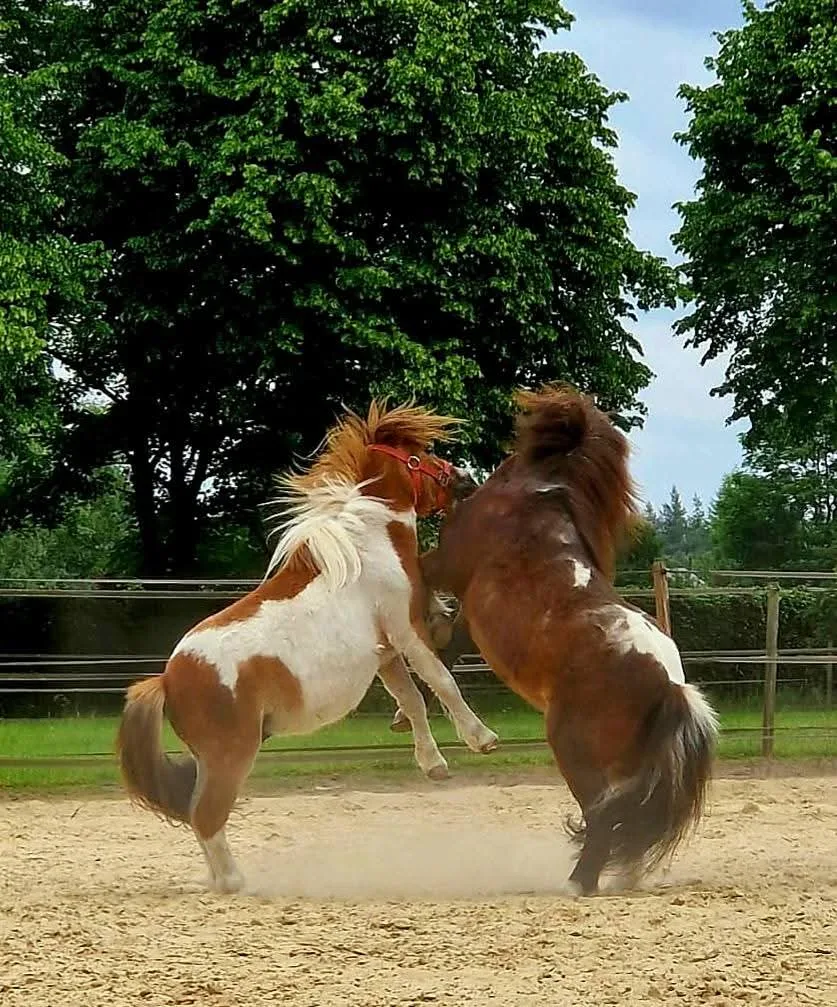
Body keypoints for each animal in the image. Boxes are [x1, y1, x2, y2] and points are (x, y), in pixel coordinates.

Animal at [116, 400, 499, 893]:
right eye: (423, 454)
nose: (465, 480)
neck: (368, 545)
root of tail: (166, 679)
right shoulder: (405, 630)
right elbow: (442, 682)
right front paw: (481, 738)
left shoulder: (385, 653)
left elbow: (412, 700)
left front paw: (432, 763)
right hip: (231, 756)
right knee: (206, 816)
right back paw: (235, 882)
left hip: (212, 759)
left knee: (199, 815)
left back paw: (221, 881)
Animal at [408, 384, 718, 895]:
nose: (460, 479)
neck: (530, 504)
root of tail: (670, 687)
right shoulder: (473, 620)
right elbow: (445, 649)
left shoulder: (445, 564)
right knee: (622, 819)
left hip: (572, 747)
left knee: (602, 816)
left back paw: (579, 882)